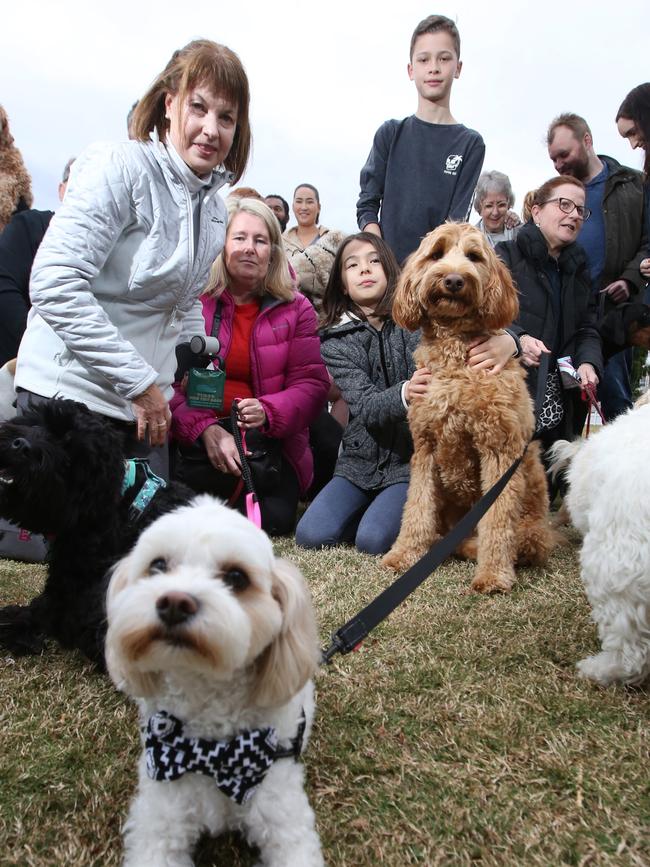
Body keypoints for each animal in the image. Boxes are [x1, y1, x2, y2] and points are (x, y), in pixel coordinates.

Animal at [382, 222, 556, 596]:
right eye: (436, 254)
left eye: (474, 257)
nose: (453, 280)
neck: (455, 360)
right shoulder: (426, 448)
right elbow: (416, 506)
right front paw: (404, 554)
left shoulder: (499, 451)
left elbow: (497, 518)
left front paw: (493, 575)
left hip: (532, 526)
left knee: (518, 541)